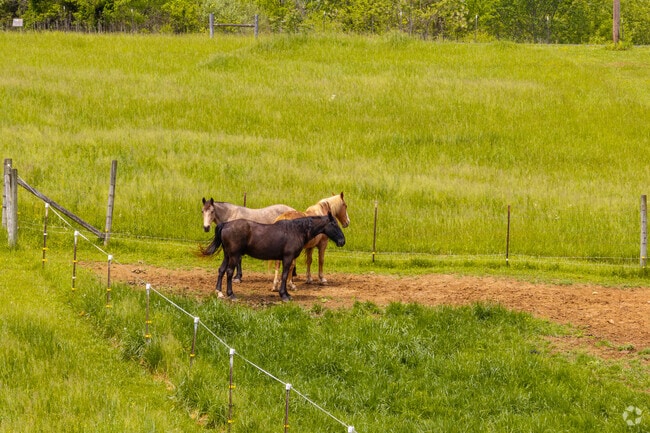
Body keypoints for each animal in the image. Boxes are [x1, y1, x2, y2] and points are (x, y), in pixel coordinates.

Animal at [202, 213, 346, 302]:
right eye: (334, 224)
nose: (342, 241)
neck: (296, 230)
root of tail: (225, 224)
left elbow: (285, 275)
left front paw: (287, 293)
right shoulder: (287, 258)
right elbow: (284, 275)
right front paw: (284, 295)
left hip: (227, 255)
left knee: (221, 270)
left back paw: (219, 292)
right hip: (234, 255)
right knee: (229, 272)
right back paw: (231, 294)